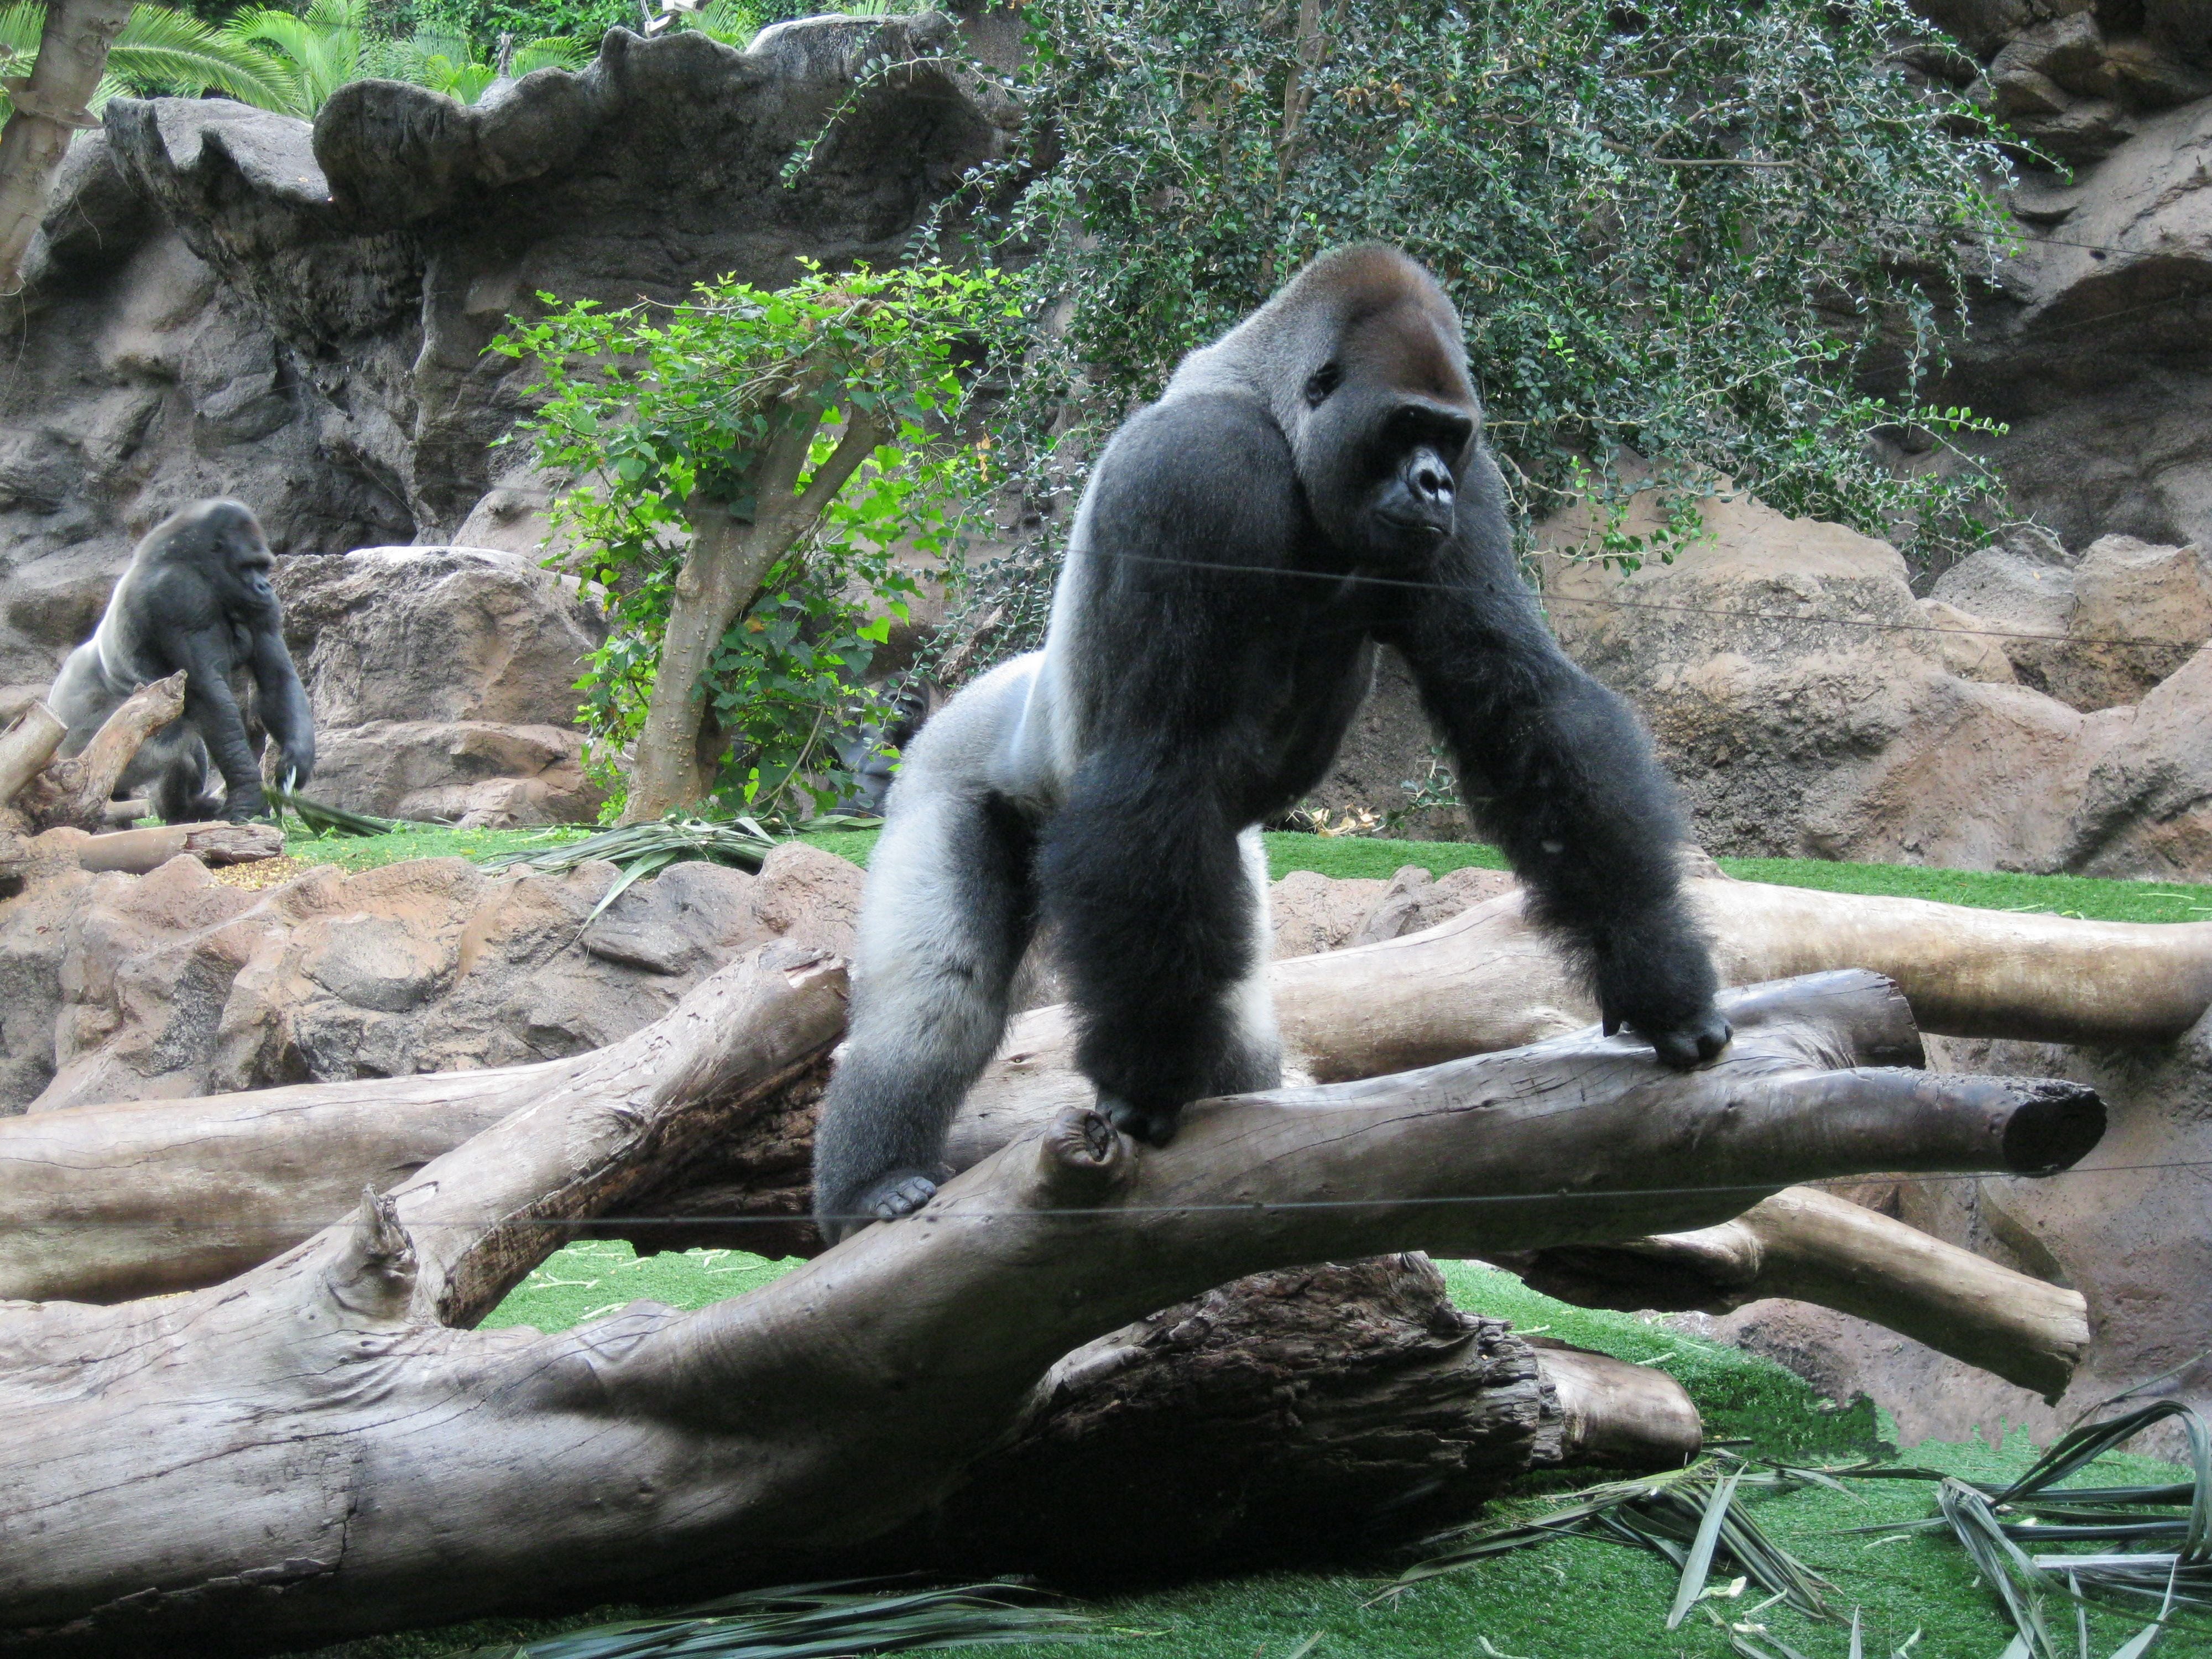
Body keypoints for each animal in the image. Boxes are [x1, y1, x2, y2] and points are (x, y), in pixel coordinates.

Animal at [49, 499, 314, 824]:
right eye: (247, 567)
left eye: (262, 567)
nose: (264, 587)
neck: (200, 565)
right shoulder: (180, 595)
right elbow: (211, 698)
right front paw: (248, 796)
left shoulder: (262, 607)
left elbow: (276, 678)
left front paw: (296, 759)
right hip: (98, 754)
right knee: (183, 743)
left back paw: (181, 812)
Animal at [811, 244, 1730, 1239]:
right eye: (1405, 426)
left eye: (1447, 438)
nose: (1432, 482)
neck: (1277, 413)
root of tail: (982, 692)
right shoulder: (1197, 470)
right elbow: (1162, 754)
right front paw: (1145, 1080)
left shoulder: (1476, 493)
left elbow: (1518, 702)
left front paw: (1660, 979)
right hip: (944, 773)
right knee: (939, 998)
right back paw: (873, 1182)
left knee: (1235, 1018)